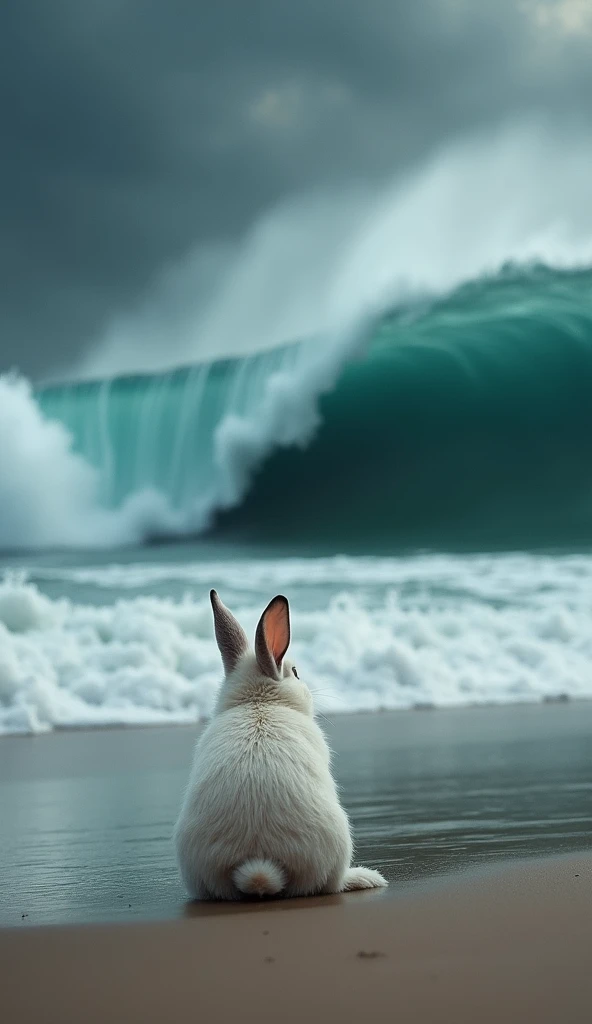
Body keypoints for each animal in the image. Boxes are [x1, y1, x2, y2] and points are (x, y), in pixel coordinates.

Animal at [173, 589, 385, 901]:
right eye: (295, 672)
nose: (307, 689)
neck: (259, 701)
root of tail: (260, 869)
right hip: (340, 842)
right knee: (330, 885)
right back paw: (366, 877)